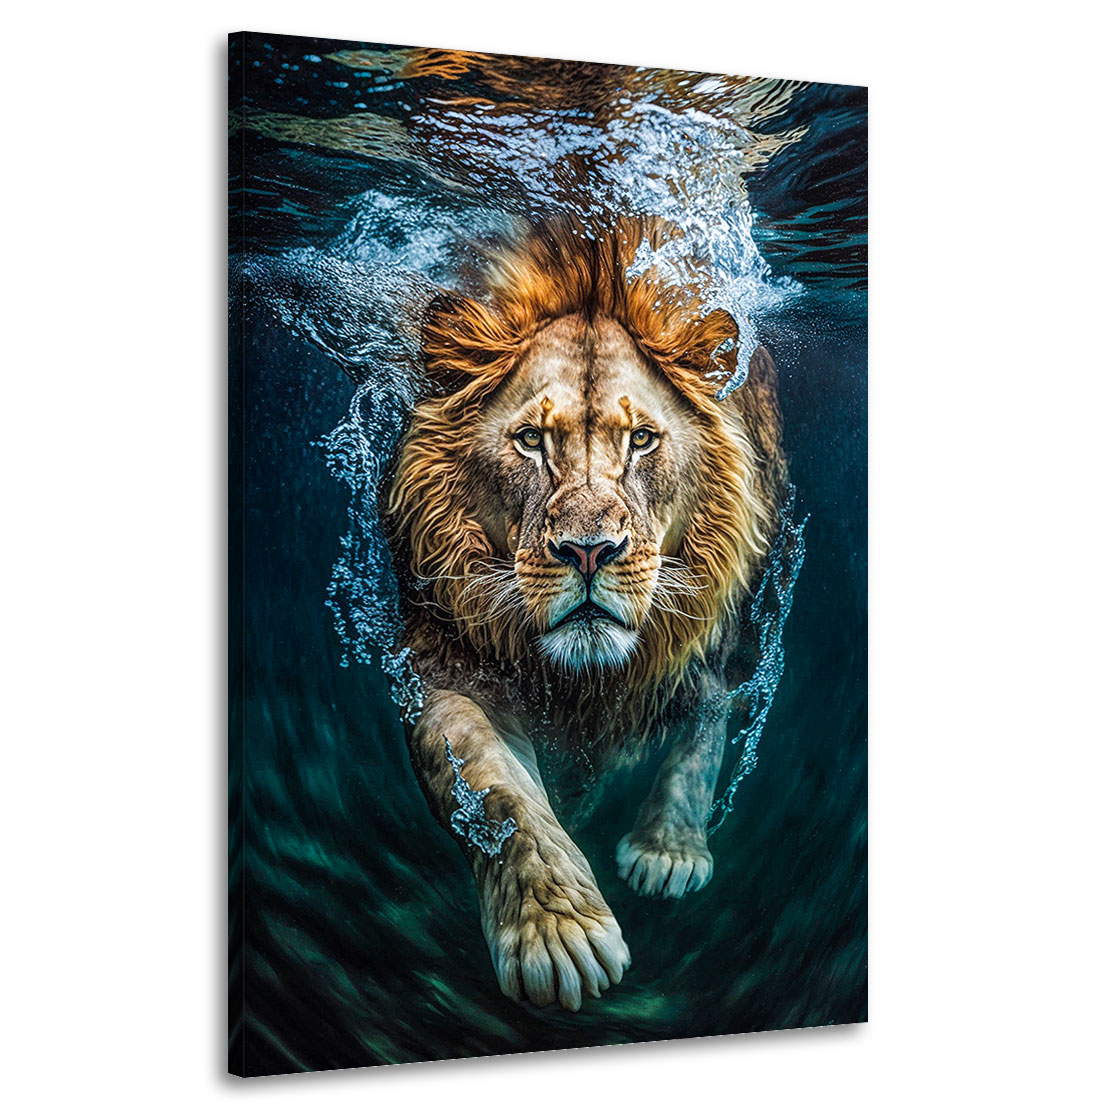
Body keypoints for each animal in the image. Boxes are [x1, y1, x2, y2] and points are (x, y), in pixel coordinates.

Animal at [382, 216, 787, 1012]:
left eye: (642, 439)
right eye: (531, 440)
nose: (589, 550)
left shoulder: (721, 649)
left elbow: (700, 743)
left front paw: (667, 852)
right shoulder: (446, 664)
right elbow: (497, 793)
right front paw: (556, 933)